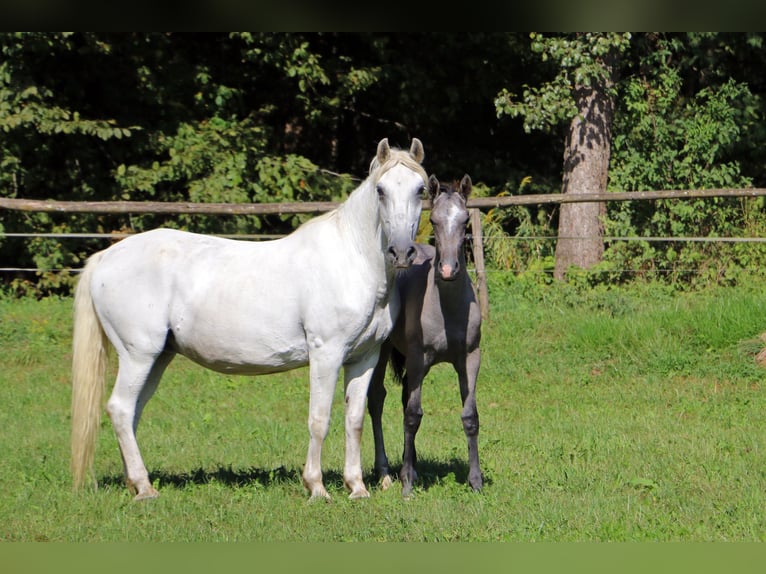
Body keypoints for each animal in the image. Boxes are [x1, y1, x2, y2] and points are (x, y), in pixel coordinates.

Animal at [70, 137, 432, 502]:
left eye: (420, 189)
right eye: (381, 190)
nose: (401, 252)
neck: (352, 260)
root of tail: (105, 257)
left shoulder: (364, 358)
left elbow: (354, 419)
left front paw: (356, 487)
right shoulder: (326, 354)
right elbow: (319, 419)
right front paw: (316, 486)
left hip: (158, 358)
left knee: (132, 412)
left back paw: (135, 483)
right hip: (138, 355)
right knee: (119, 408)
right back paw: (144, 488)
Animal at [368, 173, 484, 498]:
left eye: (465, 220)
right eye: (433, 220)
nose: (447, 270)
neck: (447, 311)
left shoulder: (470, 359)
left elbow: (470, 417)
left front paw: (476, 480)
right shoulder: (419, 359)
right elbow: (412, 416)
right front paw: (406, 481)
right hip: (384, 351)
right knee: (377, 399)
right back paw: (386, 472)